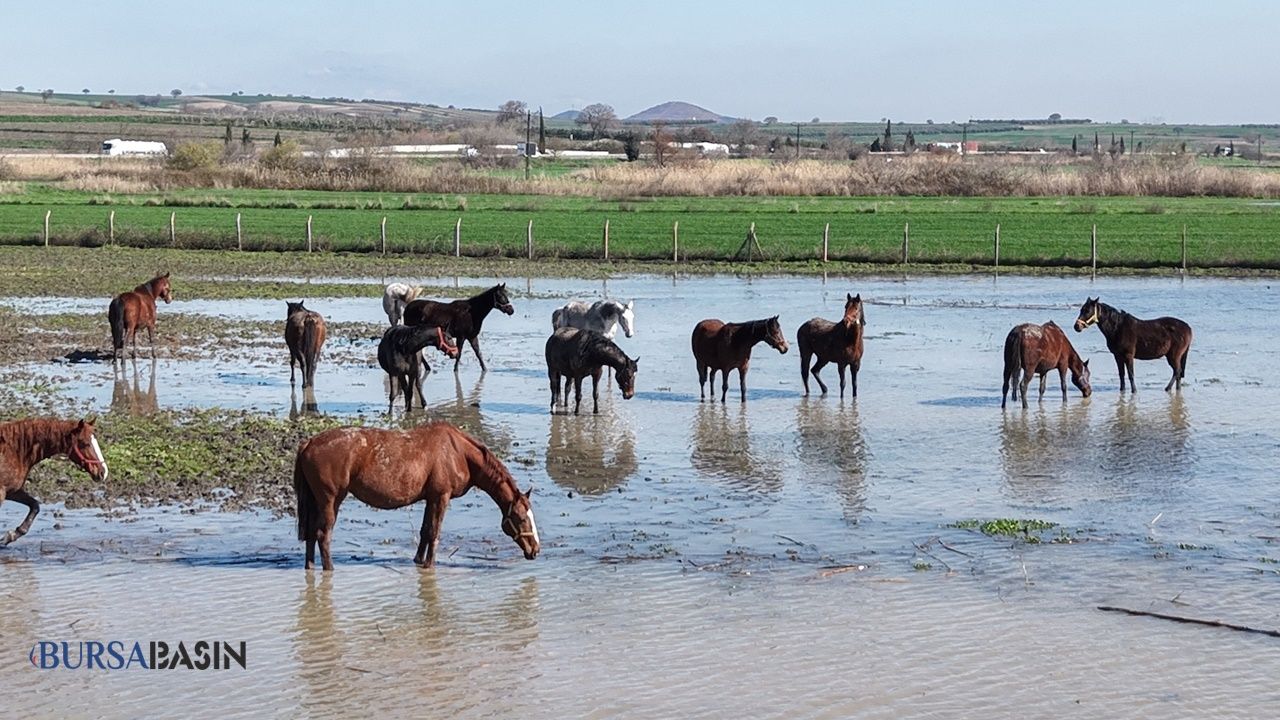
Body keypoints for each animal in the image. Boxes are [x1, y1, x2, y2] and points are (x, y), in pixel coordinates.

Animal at [0, 418, 108, 546]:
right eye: (85, 443)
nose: (103, 472)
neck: (13, 451)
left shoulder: (12, 491)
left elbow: (35, 506)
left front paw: (11, 535)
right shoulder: (2, 493)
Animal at [293, 422, 540, 570]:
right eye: (521, 518)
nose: (535, 550)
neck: (458, 452)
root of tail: (309, 443)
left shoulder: (431, 498)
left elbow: (424, 531)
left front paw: (419, 561)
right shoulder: (441, 497)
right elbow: (434, 533)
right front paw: (430, 565)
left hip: (316, 501)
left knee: (311, 534)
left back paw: (310, 567)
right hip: (331, 500)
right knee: (323, 535)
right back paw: (329, 569)